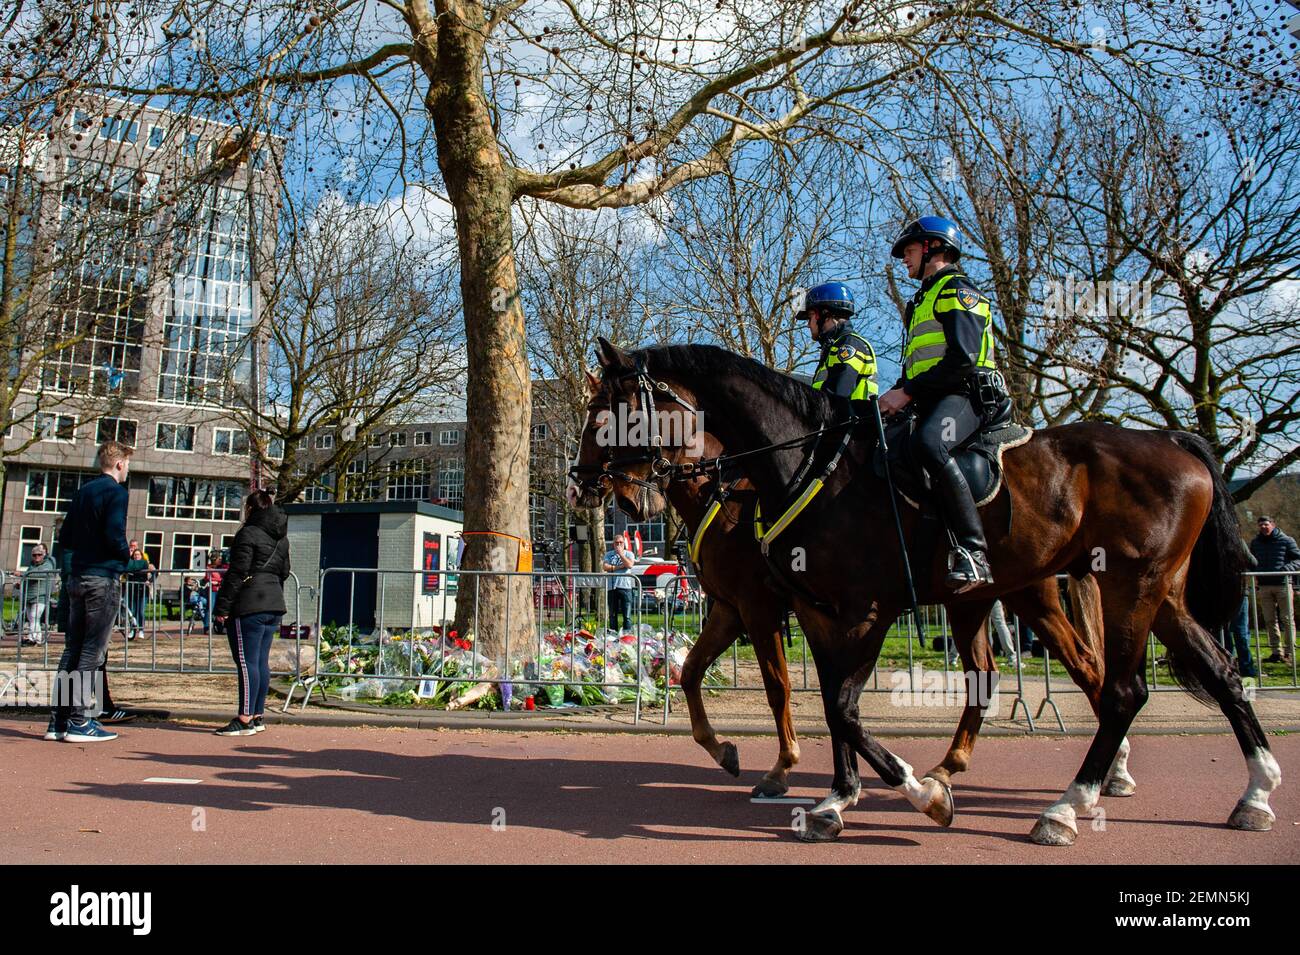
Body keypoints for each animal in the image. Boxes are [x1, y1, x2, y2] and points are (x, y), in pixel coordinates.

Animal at [570, 339, 1278, 845]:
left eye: (611, 413)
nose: (588, 484)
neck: (802, 468)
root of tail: (1171, 439)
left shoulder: (834, 610)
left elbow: (822, 700)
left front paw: (904, 794)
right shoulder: (787, 609)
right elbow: (755, 686)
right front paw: (826, 791)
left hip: (1123, 586)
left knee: (1120, 689)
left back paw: (1067, 806)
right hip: (1136, 594)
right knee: (1203, 673)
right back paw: (1253, 792)